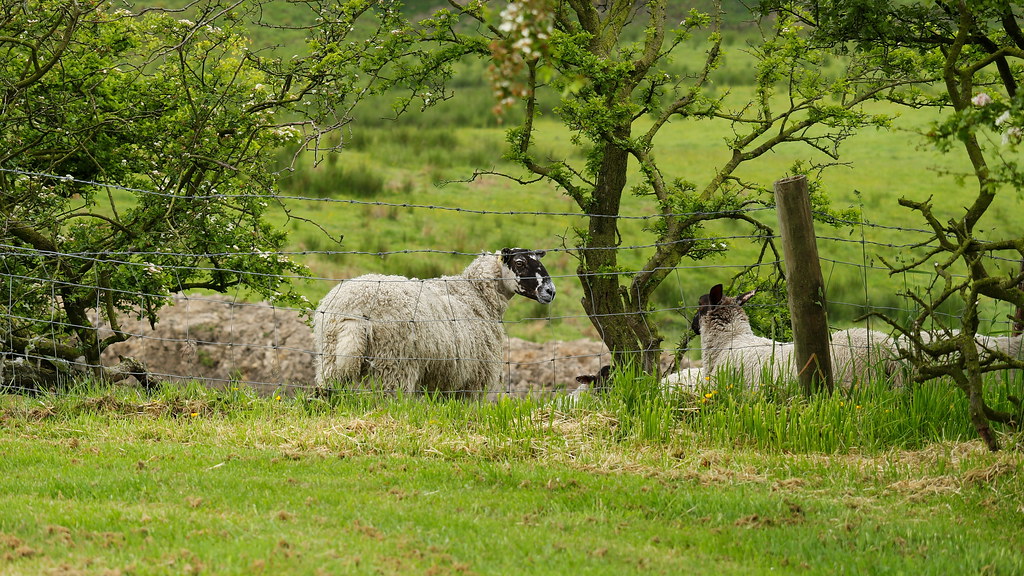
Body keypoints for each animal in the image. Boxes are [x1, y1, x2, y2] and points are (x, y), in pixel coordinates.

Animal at [311, 249, 557, 397]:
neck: (477, 293)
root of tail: (356, 309)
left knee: (324, 392)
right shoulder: (473, 378)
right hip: (395, 363)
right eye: (519, 262)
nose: (550, 291)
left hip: (329, 357)